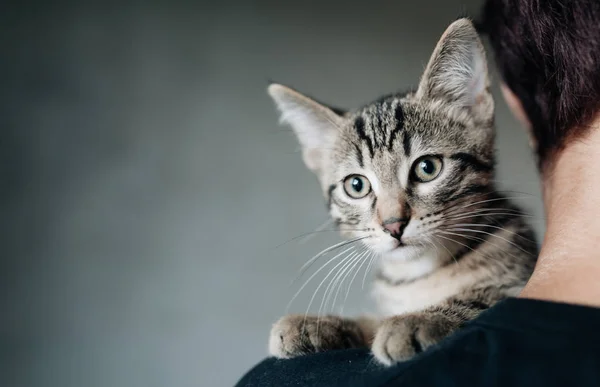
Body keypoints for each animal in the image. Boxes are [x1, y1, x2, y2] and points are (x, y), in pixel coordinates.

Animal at [264, 19, 536, 366]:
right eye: (356, 185)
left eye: (427, 168)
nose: (393, 225)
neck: (419, 274)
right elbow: (373, 321)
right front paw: (320, 325)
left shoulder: (522, 281)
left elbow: (489, 299)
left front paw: (417, 320)